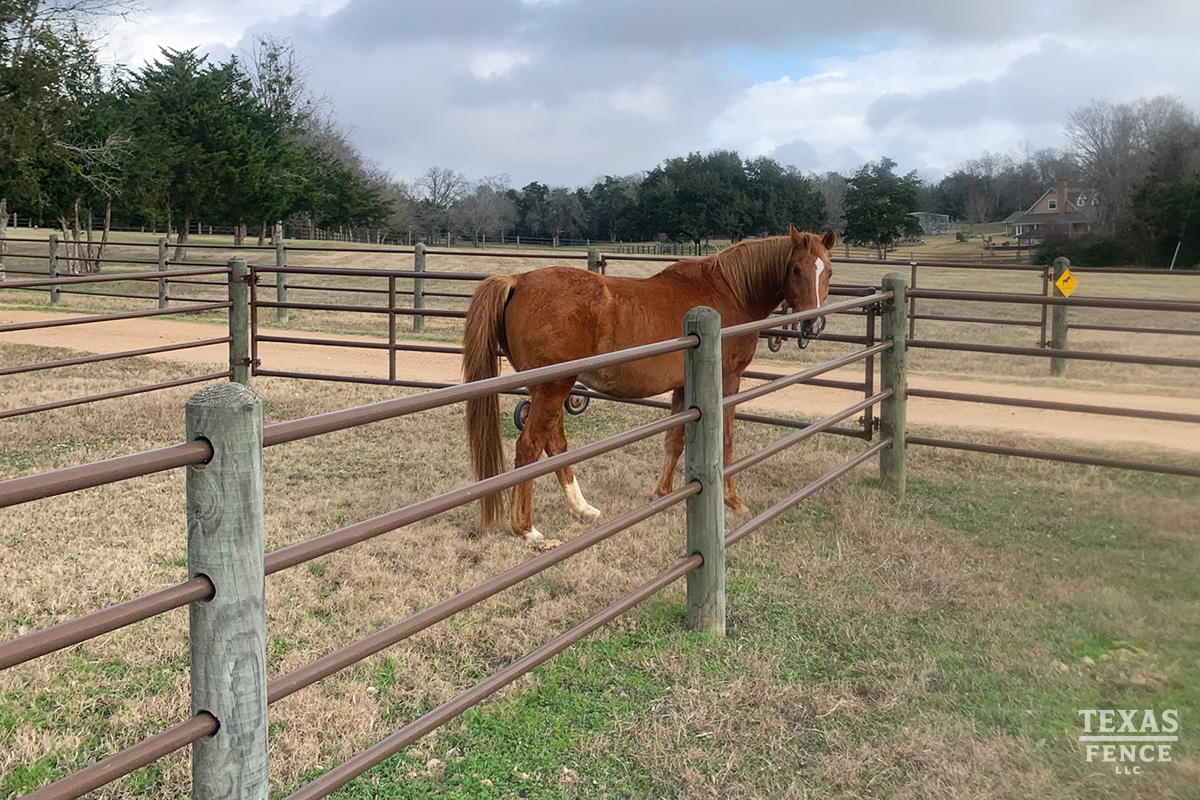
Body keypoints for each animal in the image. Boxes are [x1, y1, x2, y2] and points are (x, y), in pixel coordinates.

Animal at [463, 225, 835, 541]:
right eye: (796, 270)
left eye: (828, 271)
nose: (813, 324)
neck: (729, 291)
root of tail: (517, 280)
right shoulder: (728, 382)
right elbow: (727, 442)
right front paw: (733, 501)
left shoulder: (684, 387)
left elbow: (675, 440)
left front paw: (663, 494)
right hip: (553, 388)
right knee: (529, 446)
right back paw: (526, 528)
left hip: (550, 390)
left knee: (554, 444)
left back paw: (582, 508)